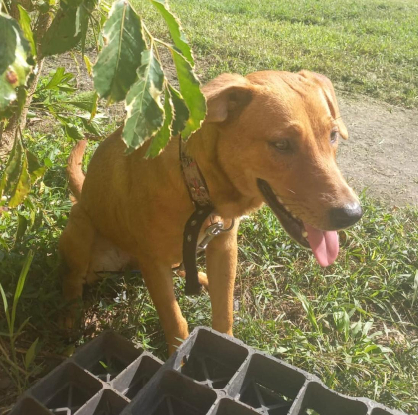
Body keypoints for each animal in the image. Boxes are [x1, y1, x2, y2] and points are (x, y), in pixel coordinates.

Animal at [59, 70, 362, 354]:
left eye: (333, 135)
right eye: (281, 144)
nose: (352, 214)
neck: (197, 187)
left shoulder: (224, 246)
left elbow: (223, 312)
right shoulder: (153, 263)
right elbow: (175, 321)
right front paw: (178, 357)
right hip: (79, 229)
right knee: (73, 281)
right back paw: (71, 321)